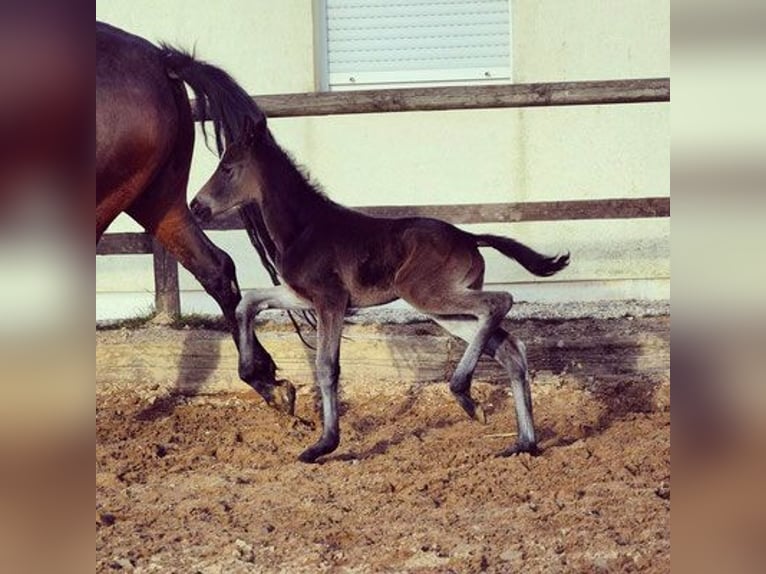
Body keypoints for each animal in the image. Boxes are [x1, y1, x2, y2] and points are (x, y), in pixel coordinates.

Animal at [189, 116, 568, 464]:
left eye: (227, 168)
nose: (196, 206)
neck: (304, 228)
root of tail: (469, 237)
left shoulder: (331, 300)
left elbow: (327, 365)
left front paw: (323, 444)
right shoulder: (301, 295)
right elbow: (248, 303)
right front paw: (261, 379)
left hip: (426, 294)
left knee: (499, 302)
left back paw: (464, 394)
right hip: (445, 310)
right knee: (510, 347)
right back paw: (522, 442)